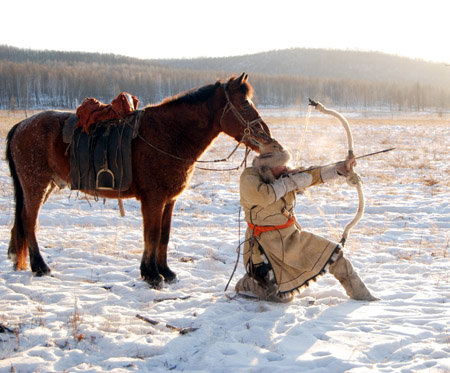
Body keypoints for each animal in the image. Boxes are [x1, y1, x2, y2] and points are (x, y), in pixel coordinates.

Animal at [7, 72, 272, 288]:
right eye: (244, 104)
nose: (266, 136)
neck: (169, 134)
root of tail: (21, 125)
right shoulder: (153, 199)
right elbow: (152, 235)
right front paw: (151, 274)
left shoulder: (169, 201)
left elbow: (164, 236)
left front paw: (165, 271)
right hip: (35, 185)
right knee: (29, 222)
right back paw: (40, 267)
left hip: (45, 186)